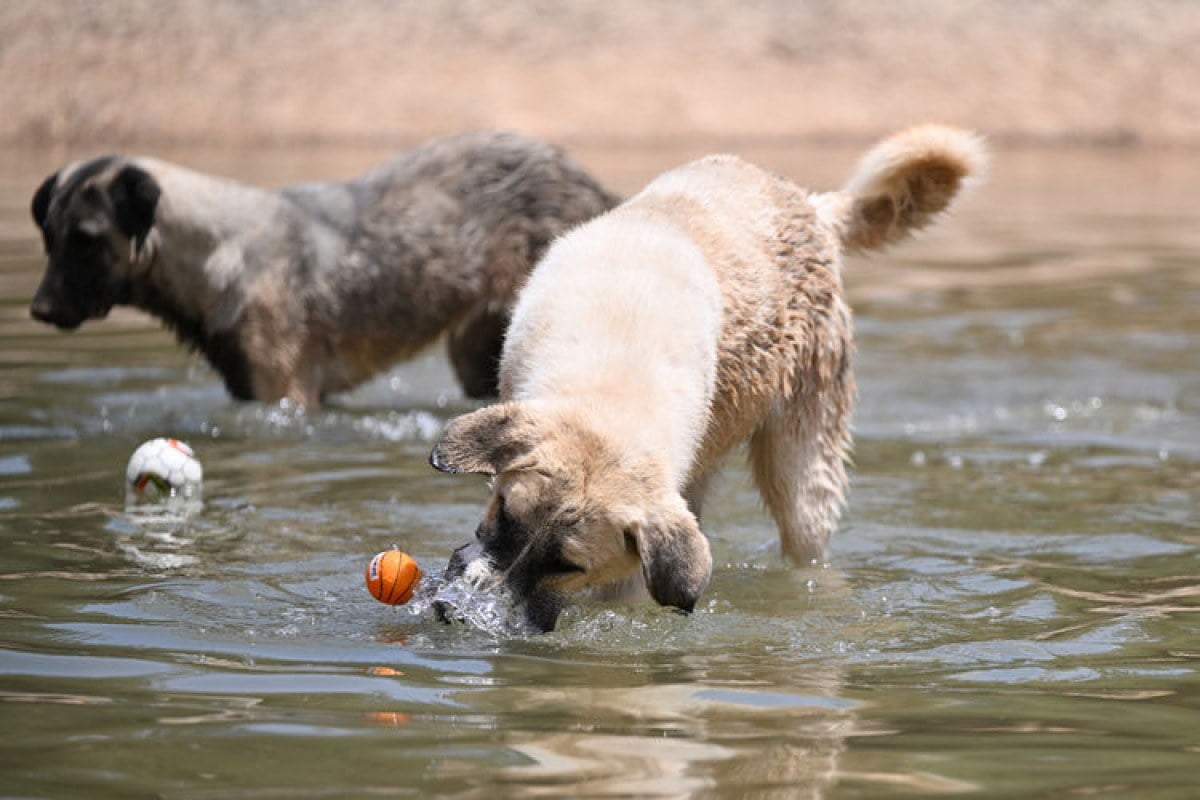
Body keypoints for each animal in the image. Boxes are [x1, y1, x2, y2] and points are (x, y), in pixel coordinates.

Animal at [30, 133, 619, 407]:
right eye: (49, 236)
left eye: (86, 240)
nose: (39, 310)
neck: (215, 254)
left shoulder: (286, 395)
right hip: (479, 355)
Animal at [432, 126, 984, 633]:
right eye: (504, 515)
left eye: (568, 565)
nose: (460, 614)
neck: (612, 380)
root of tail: (811, 207)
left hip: (801, 471)